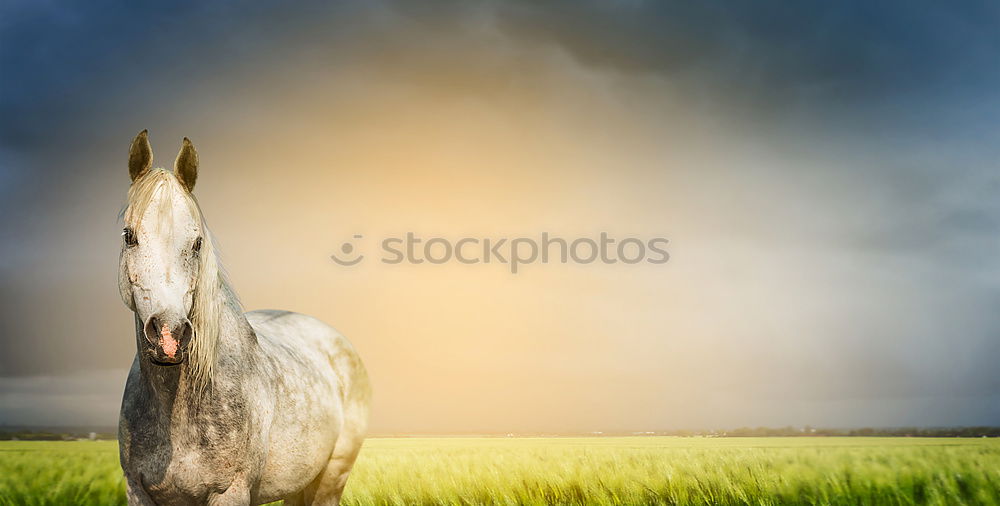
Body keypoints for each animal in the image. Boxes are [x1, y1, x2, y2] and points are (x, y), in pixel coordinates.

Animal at [115, 131, 370, 506]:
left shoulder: (230, 492)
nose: (169, 335)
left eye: (197, 242)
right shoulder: (138, 492)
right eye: (129, 236)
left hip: (332, 478)